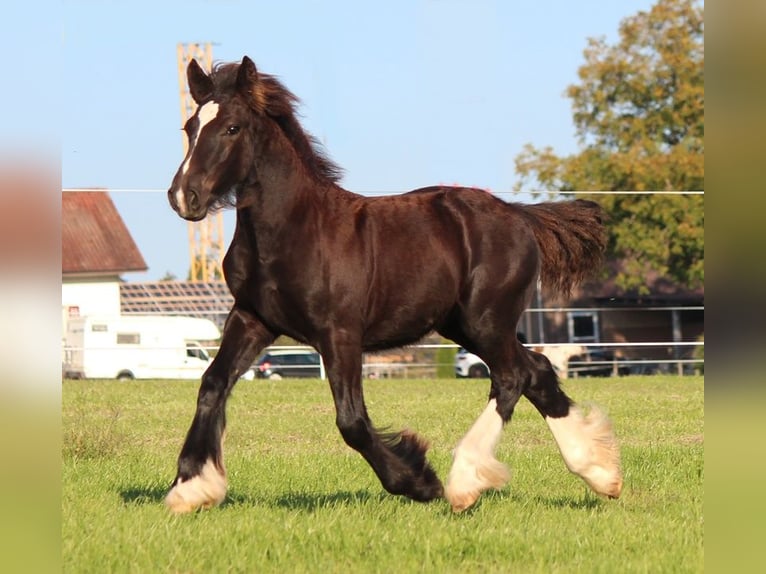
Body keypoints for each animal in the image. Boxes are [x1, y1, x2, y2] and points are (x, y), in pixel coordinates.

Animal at [166, 57, 624, 516]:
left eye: (232, 128)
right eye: (189, 126)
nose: (184, 196)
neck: (292, 231)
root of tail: (519, 215)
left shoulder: (339, 333)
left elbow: (351, 421)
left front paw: (418, 481)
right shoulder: (252, 319)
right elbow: (213, 384)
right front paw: (189, 487)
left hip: (486, 321)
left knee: (513, 376)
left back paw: (464, 482)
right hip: (464, 325)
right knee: (538, 370)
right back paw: (600, 472)